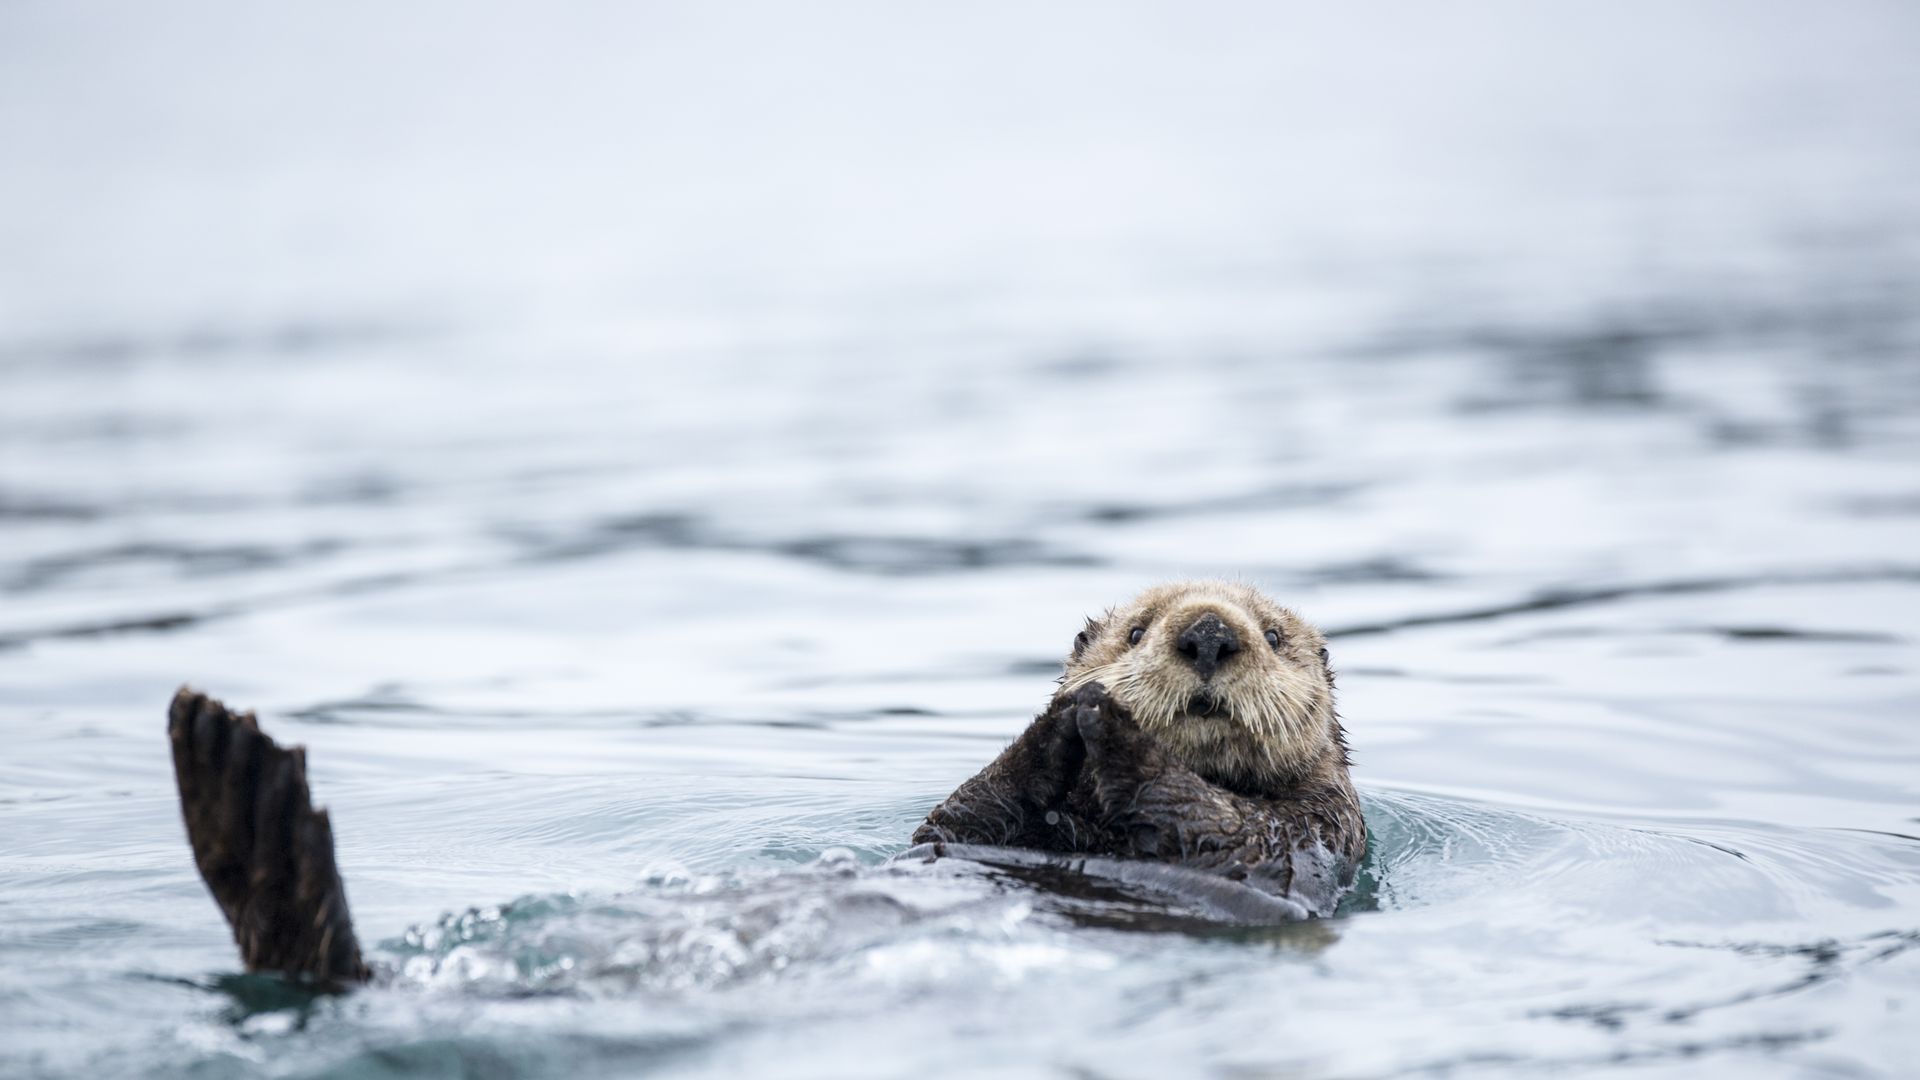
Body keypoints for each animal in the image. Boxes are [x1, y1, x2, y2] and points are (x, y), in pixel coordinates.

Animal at [163, 580, 1360, 988]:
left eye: (1273, 634)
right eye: (1138, 625)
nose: (1207, 635)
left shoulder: (1314, 833)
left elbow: (1218, 827)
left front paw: (1104, 728)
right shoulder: (966, 825)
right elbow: (957, 815)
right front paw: (1061, 720)